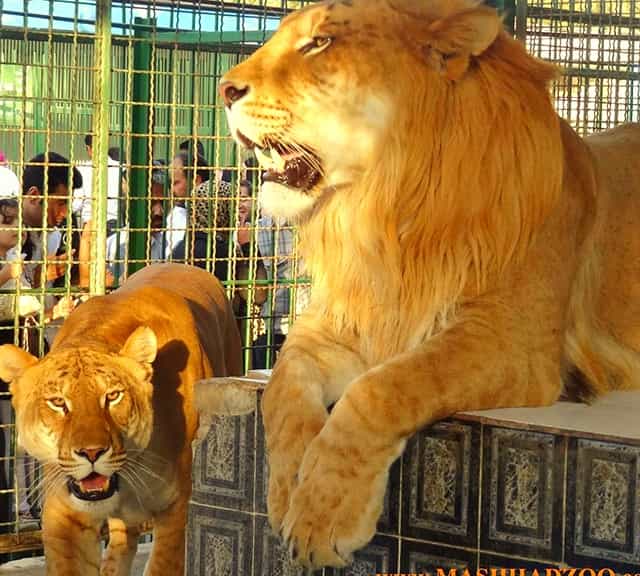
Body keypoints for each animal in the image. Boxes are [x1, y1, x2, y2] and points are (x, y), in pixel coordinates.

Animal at [214, 0, 640, 568]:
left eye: (321, 42)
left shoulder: (511, 344)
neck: (386, 211)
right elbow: (281, 389)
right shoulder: (331, 326)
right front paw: (286, 492)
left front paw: (323, 513)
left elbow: (384, 387)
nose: (224, 88)